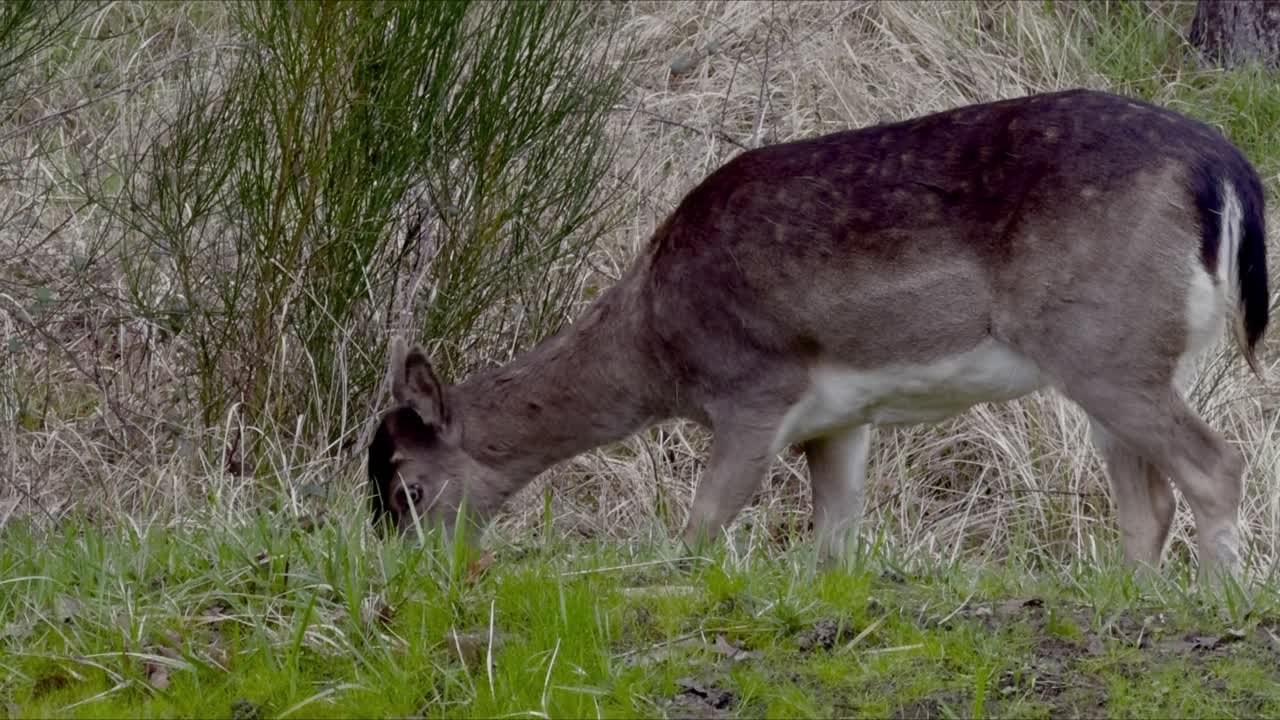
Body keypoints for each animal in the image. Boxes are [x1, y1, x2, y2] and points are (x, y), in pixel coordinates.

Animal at [368, 88, 1269, 582]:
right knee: (1147, 502)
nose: (393, 560)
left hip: (1105, 343)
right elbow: (835, 538)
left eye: (407, 486)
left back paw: (1218, 595)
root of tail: (1226, 170)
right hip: (1123, 355)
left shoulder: (755, 390)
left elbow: (702, 524)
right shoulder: (842, 419)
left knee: (1217, 464)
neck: (660, 346)